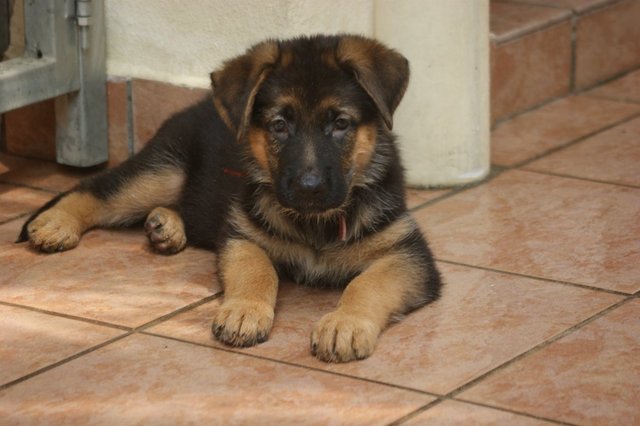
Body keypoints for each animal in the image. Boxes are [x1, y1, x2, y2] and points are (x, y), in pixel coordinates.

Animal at [18, 35, 440, 362]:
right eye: (279, 125)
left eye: (340, 124)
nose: (309, 188)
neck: (313, 224)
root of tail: (198, 104)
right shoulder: (244, 234)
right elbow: (257, 270)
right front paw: (244, 311)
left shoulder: (407, 253)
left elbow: (367, 284)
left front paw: (346, 324)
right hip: (163, 171)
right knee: (95, 188)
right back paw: (57, 222)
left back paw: (165, 226)